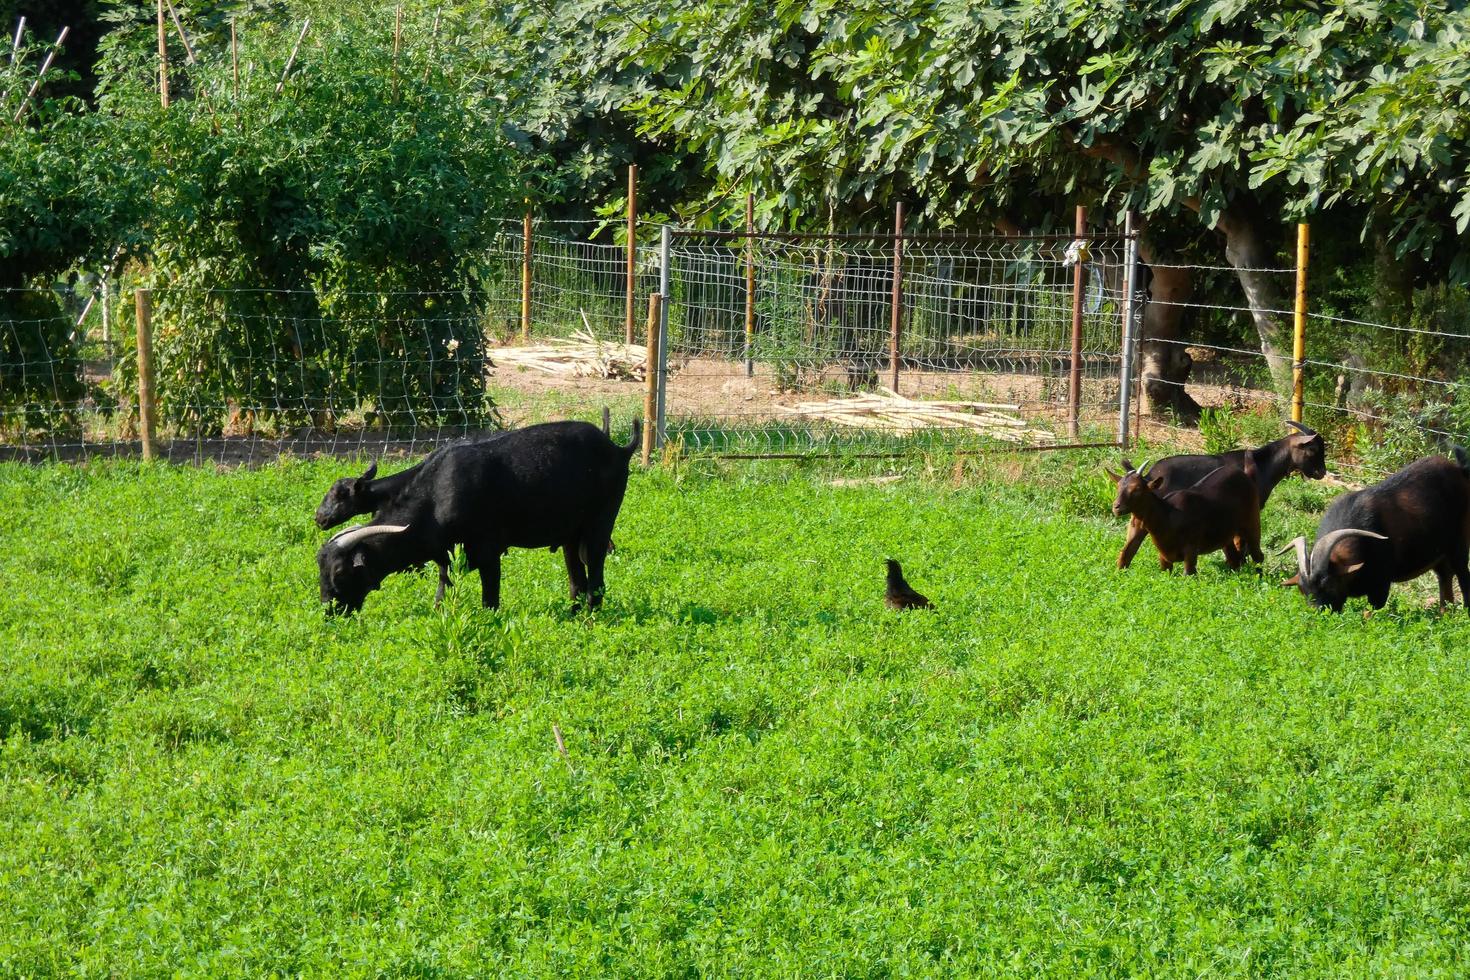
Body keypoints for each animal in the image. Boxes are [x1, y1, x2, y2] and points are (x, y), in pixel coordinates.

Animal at [318, 420, 640, 617]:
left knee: (596, 578)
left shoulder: (489, 552)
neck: (437, 496)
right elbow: (441, 594)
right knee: (577, 579)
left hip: (600, 524)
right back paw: (573, 614)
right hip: (570, 536)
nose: (329, 611)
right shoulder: (446, 557)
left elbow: (490, 600)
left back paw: (590, 617)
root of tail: (619, 449)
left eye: (340, 572)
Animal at [1105, 458, 1264, 575]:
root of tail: (1246, 476)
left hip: (1252, 521)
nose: (1116, 507)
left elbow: (1189, 574)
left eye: (1137, 489)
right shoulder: (1163, 555)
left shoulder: (1191, 549)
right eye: (1118, 486)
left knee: (1257, 554)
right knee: (1234, 559)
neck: (1167, 516)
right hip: (1226, 534)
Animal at [1275, 446, 1470, 614]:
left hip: (1459, 542)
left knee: (1461, 573)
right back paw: (1444, 614)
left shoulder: (1381, 583)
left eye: (1329, 584)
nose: (1319, 614)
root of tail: (1459, 470)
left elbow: (1369, 613)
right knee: (1444, 577)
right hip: (1438, 553)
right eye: (1302, 590)